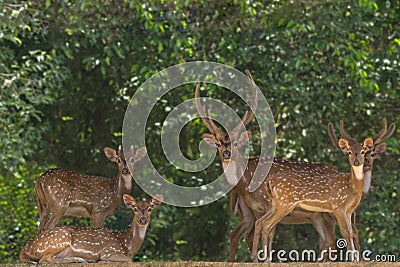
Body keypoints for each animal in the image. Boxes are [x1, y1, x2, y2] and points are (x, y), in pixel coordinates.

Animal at [19, 194, 163, 264]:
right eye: (135, 208)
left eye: (150, 208)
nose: (143, 219)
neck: (128, 245)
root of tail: (25, 248)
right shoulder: (109, 251)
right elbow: (129, 260)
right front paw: (102, 261)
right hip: (58, 239)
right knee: (44, 260)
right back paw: (80, 259)